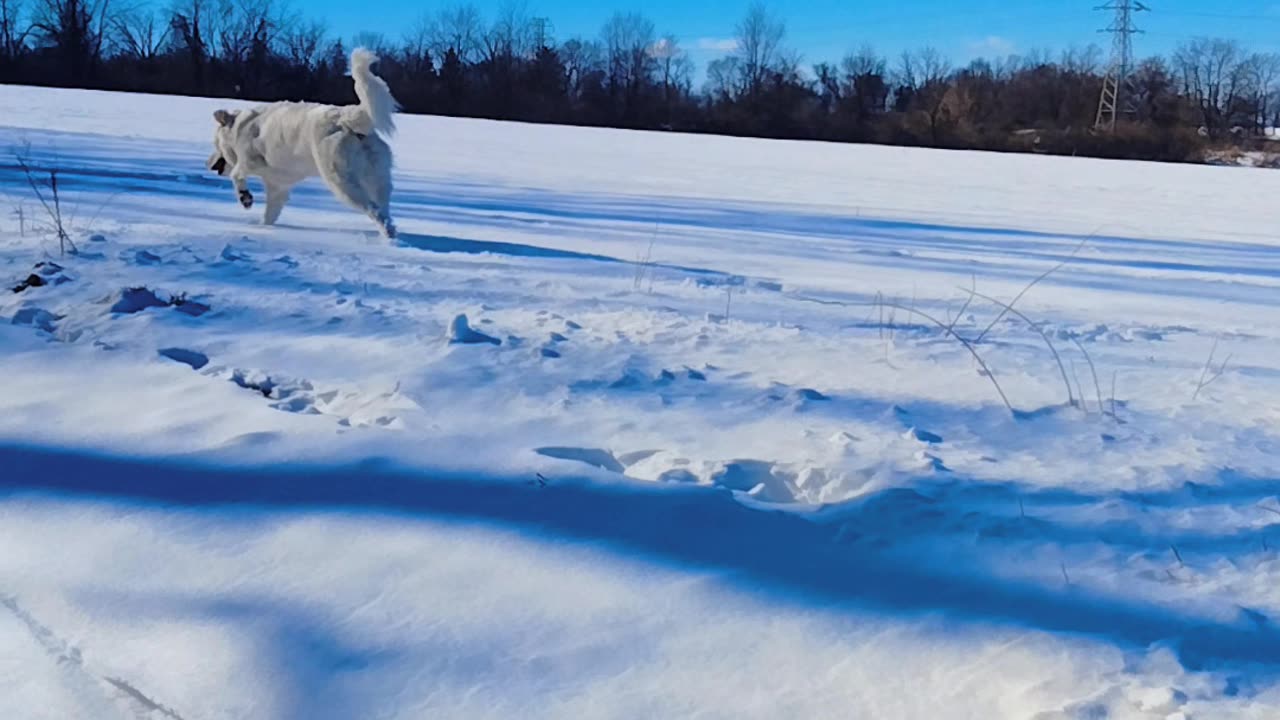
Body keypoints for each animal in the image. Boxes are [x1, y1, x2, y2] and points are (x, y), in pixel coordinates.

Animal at [207, 48, 396, 238]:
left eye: (215, 143)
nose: (209, 165)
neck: (238, 127)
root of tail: (345, 118)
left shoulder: (250, 160)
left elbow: (236, 174)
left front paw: (245, 197)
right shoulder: (277, 187)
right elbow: (270, 213)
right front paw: (263, 228)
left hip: (341, 182)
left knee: (374, 210)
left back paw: (387, 237)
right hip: (376, 178)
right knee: (384, 209)